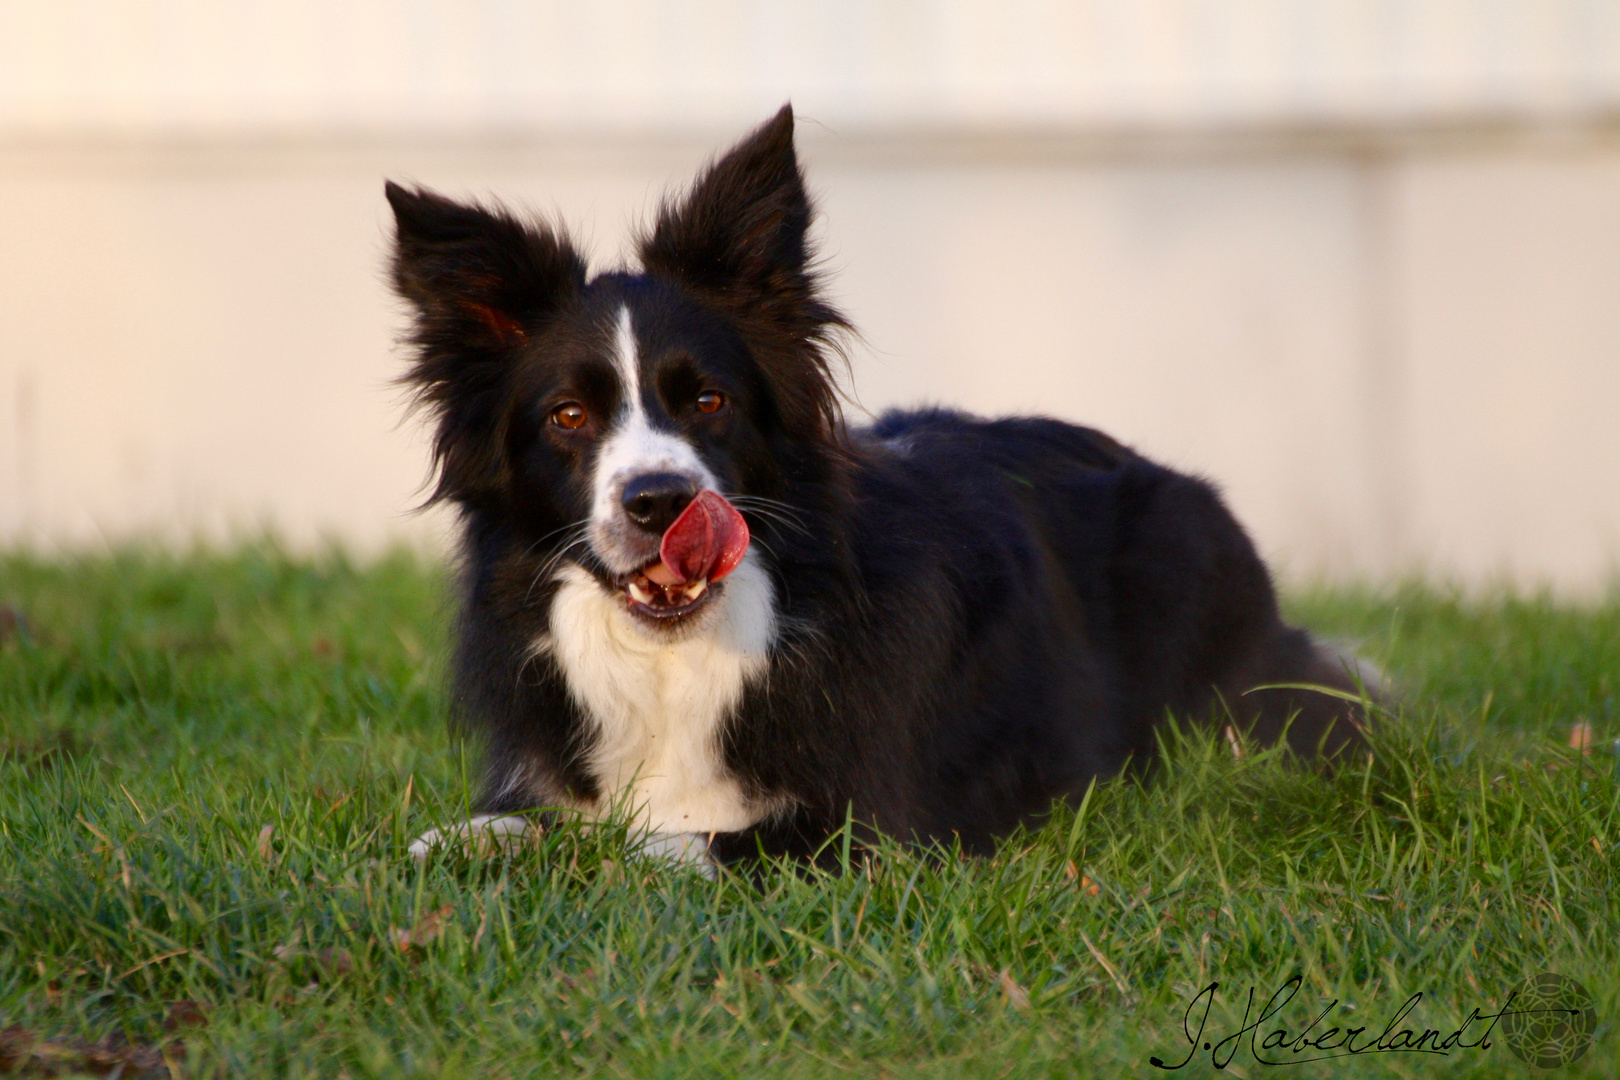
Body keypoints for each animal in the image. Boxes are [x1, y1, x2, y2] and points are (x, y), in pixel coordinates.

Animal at [388, 105, 1367, 874]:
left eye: (708, 400)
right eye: (567, 416)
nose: (661, 503)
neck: (682, 656)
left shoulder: (877, 827)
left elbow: (662, 842)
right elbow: (491, 827)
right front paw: (458, 842)